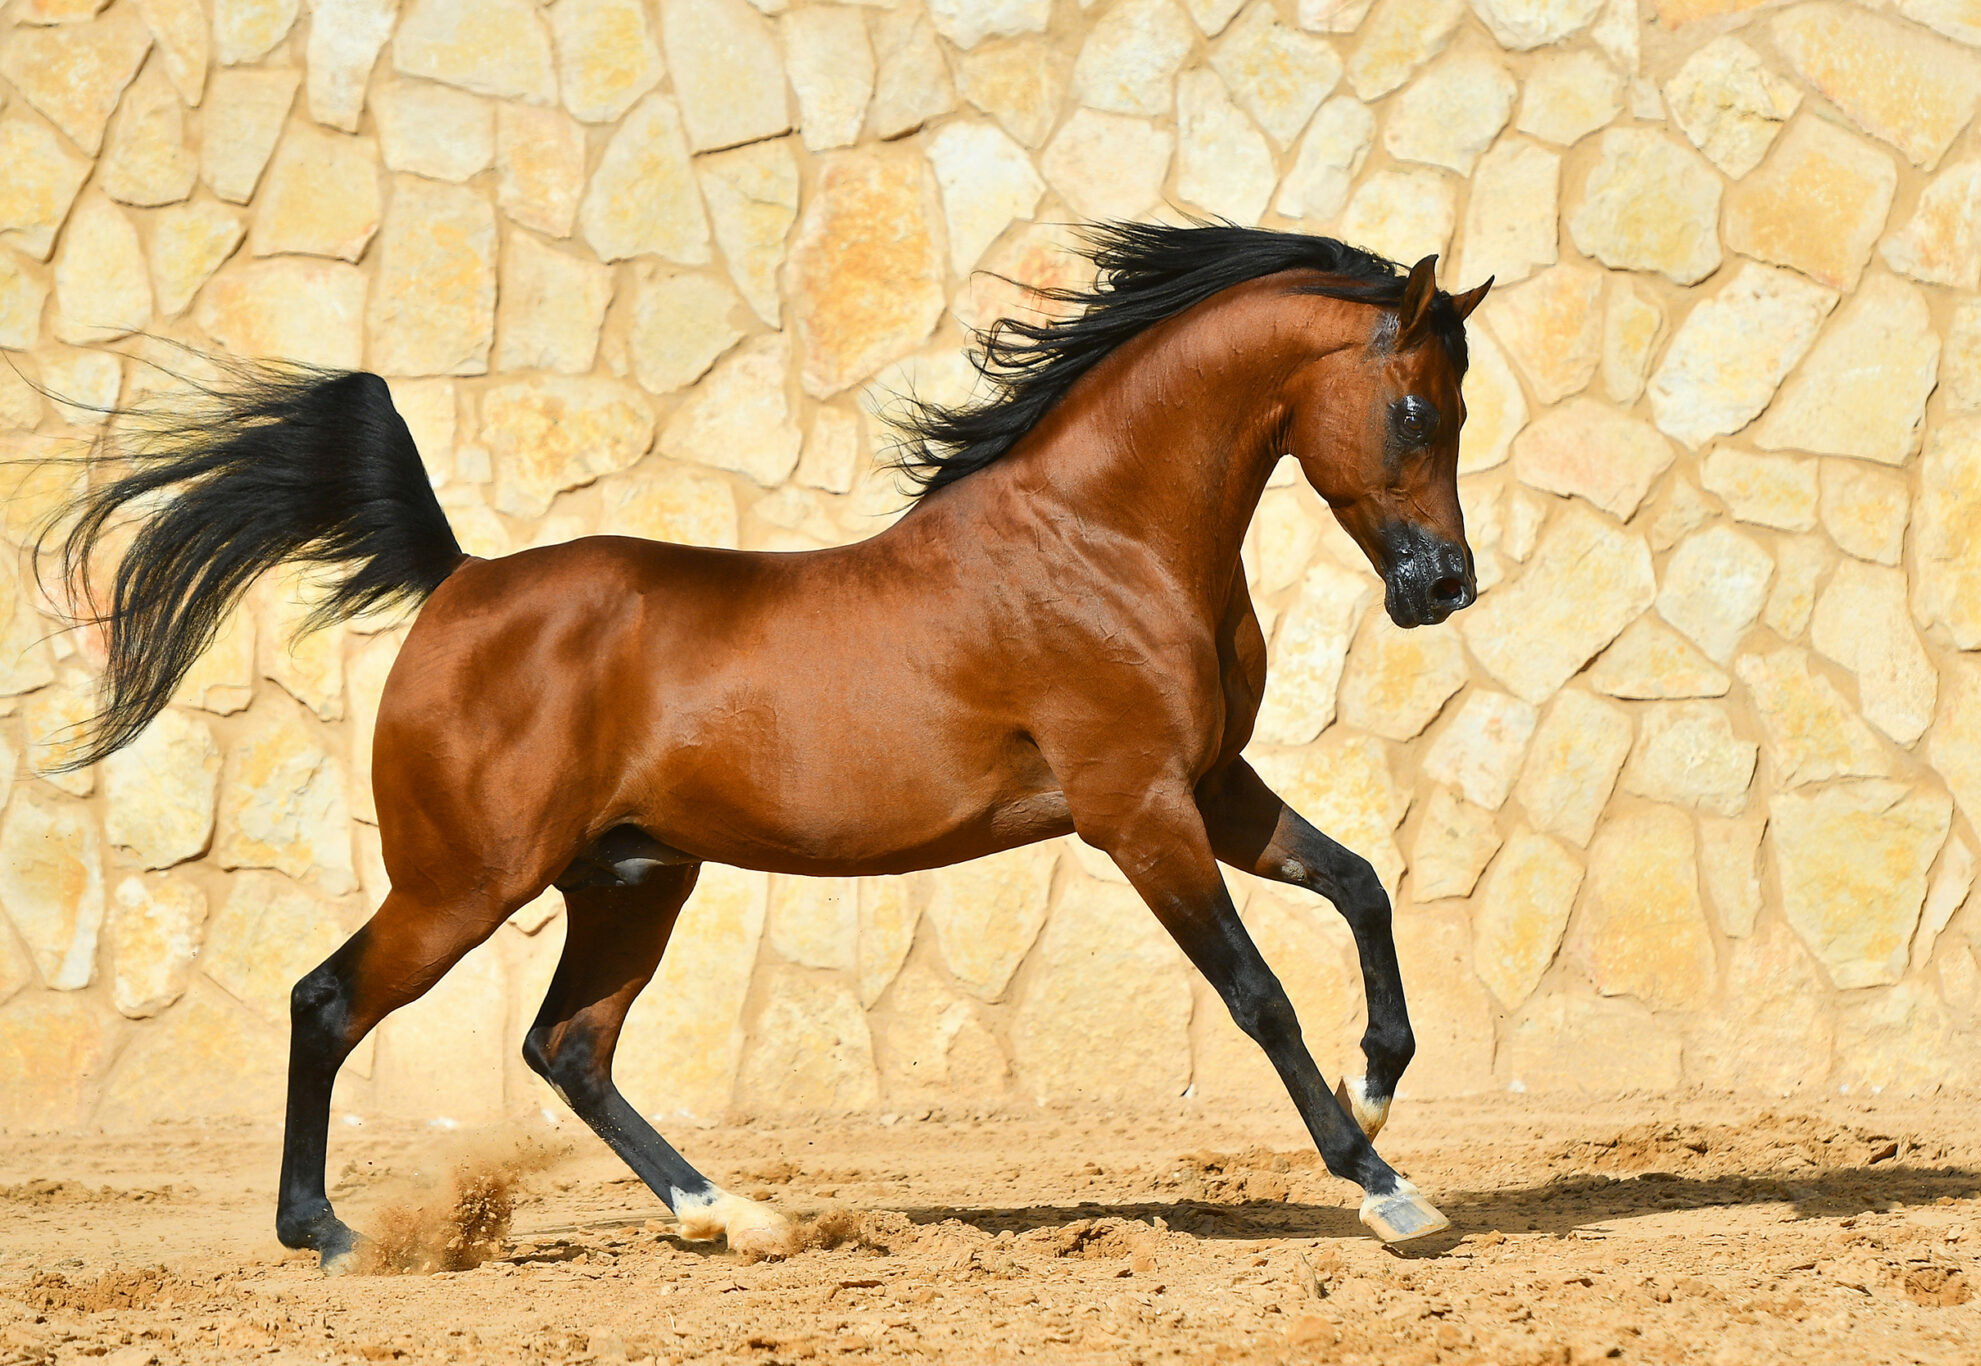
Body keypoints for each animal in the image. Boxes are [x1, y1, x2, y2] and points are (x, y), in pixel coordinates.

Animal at [44, 223, 1490, 1270]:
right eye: (1419, 409)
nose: (1442, 586)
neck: (1102, 537)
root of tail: (459, 581)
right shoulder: (1137, 809)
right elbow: (1257, 992)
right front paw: (1384, 1188)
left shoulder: (1211, 785)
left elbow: (1359, 883)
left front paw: (1375, 1087)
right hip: (465, 883)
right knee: (329, 1001)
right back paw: (331, 1234)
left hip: (632, 879)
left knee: (569, 1046)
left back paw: (730, 1216)